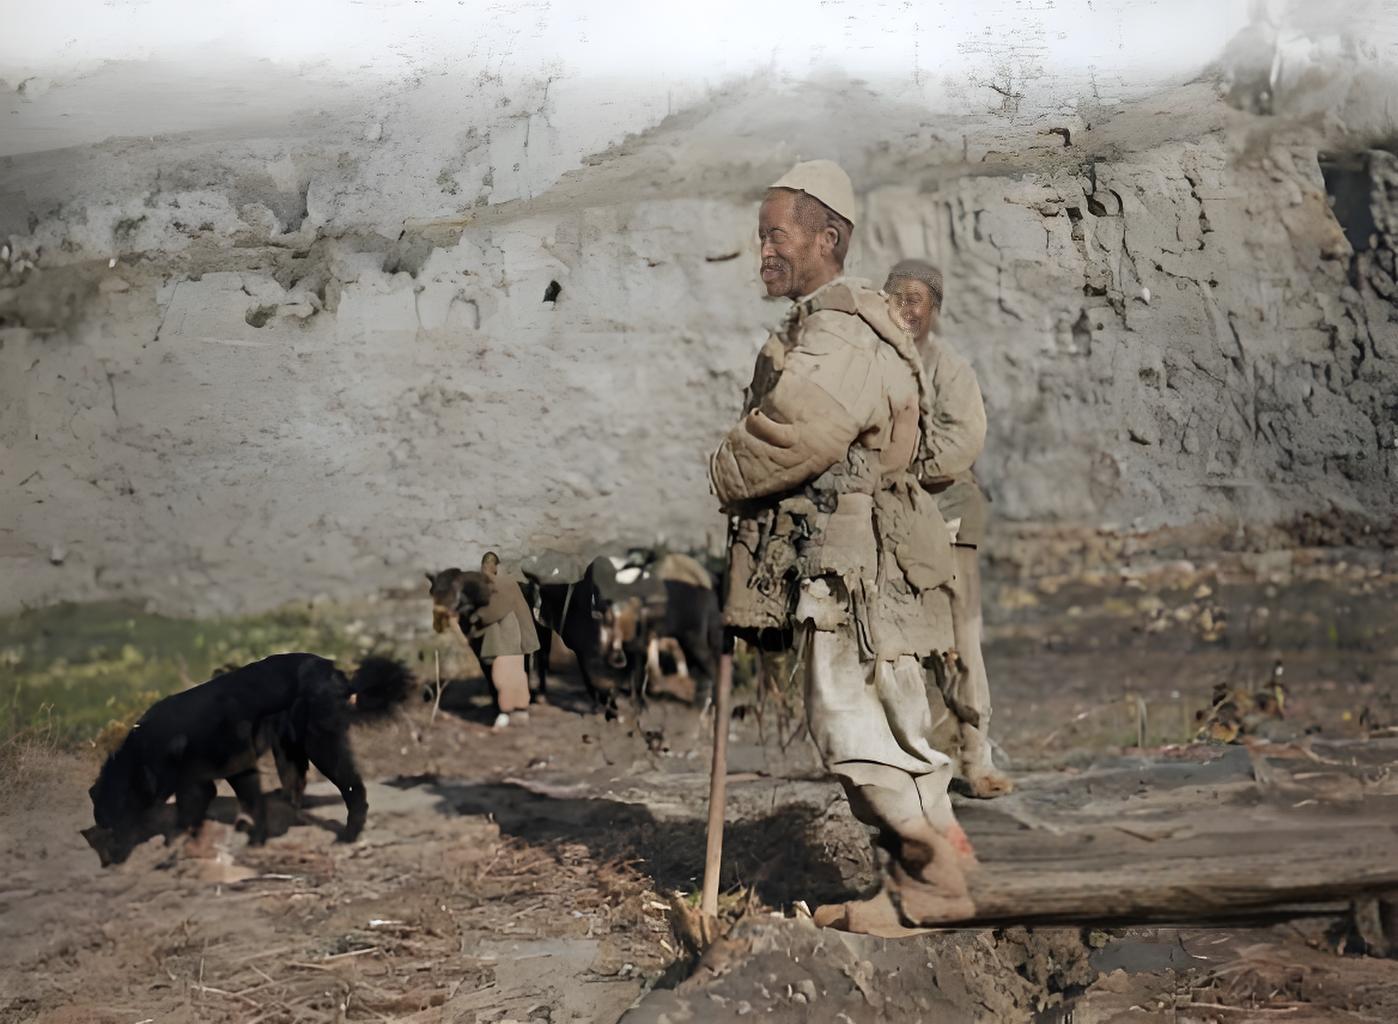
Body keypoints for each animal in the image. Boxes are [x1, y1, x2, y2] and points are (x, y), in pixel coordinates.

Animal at [81, 654, 411, 861]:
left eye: (114, 824)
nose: (109, 862)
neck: (147, 753)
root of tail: (338, 675)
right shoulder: (204, 780)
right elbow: (196, 811)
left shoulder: (235, 767)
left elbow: (247, 803)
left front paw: (255, 841)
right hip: (288, 748)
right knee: (297, 785)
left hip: (320, 744)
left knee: (353, 787)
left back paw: (349, 834)